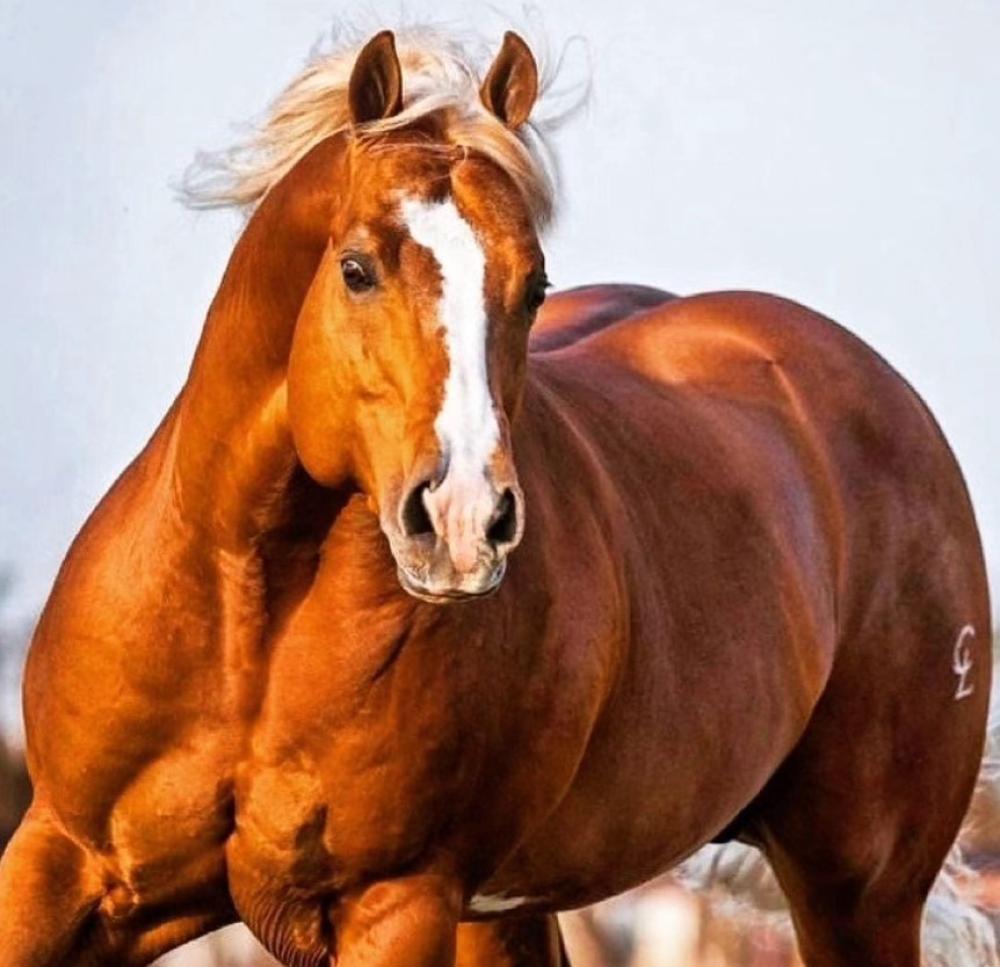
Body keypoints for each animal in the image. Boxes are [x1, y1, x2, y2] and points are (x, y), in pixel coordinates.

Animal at [0, 26, 992, 967]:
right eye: (357, 268)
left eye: (535, 283)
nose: (464, 519)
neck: (249, 615)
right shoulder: (65, 862)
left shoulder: (396, 906)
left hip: (858, 892)